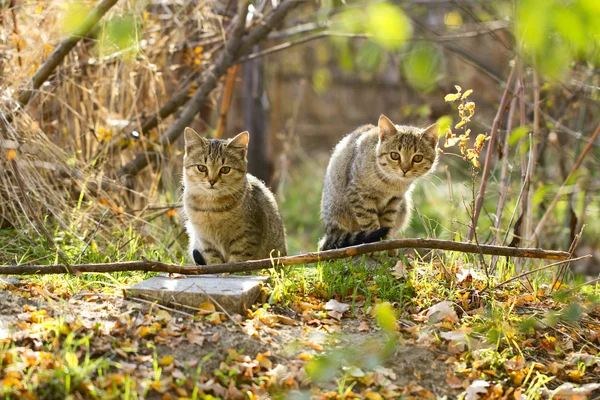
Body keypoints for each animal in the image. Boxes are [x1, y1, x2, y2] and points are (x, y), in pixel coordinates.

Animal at [182, 129, 288, 266]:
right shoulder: (205, 242)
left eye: (225, 169)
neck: (212, 209)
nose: (212, 181)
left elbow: (237, 262)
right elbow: (213, 262)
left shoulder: (245, 239)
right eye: (201, 167)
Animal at [322, 113, 438, 250]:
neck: (392, 184)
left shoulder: (395, 199)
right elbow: (370, 223)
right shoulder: (359, 195)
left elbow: (387, 221)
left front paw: (387, 244)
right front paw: (375, 248)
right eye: (395, 155)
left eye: (418, 158)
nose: (405, 169)